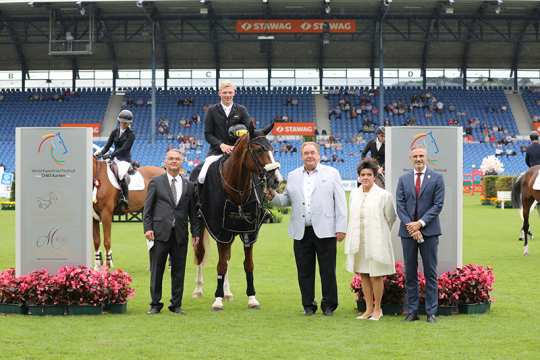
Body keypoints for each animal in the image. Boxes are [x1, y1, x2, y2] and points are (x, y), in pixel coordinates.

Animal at [191, 121, 282, 310]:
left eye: (272, 149)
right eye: (259, 150)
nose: (276, 180)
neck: (238, 189)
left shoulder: (249, 231)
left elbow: (247, 265)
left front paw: (252, 298)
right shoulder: (220, 231)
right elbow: (220, 265)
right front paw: (217, 300)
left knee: (226, 258)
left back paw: (227, 292)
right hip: (201, 227)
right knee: (201, 253)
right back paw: (199, 289)